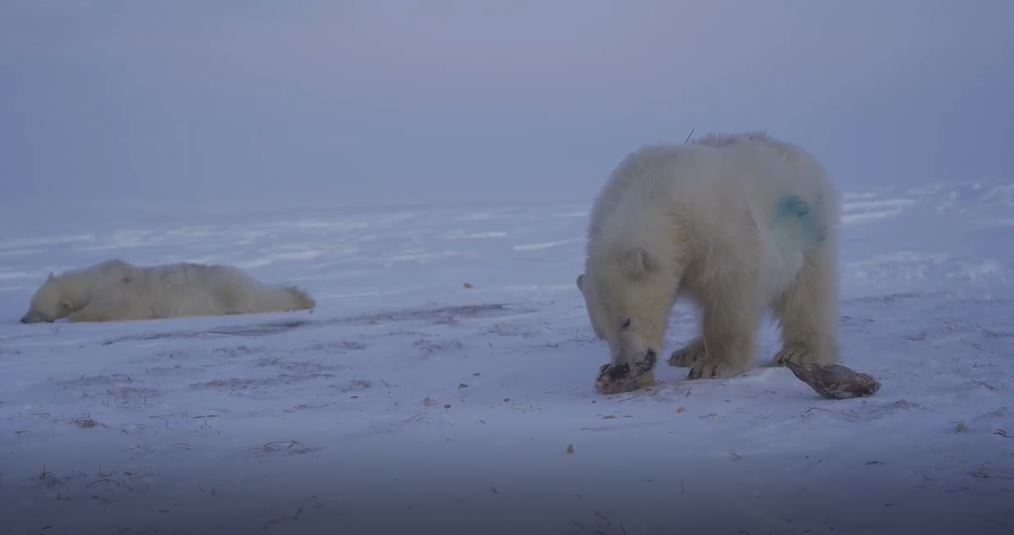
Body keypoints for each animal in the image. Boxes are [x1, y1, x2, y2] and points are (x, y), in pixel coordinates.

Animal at [580, 133, 839, 393]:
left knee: (806, 295)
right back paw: (687, 352)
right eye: (602, 333)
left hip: (807, 230)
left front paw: (715, 364)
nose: (623, 365)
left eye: (626, 321)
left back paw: (800, 352)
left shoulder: (716, 229)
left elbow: (729, 291)